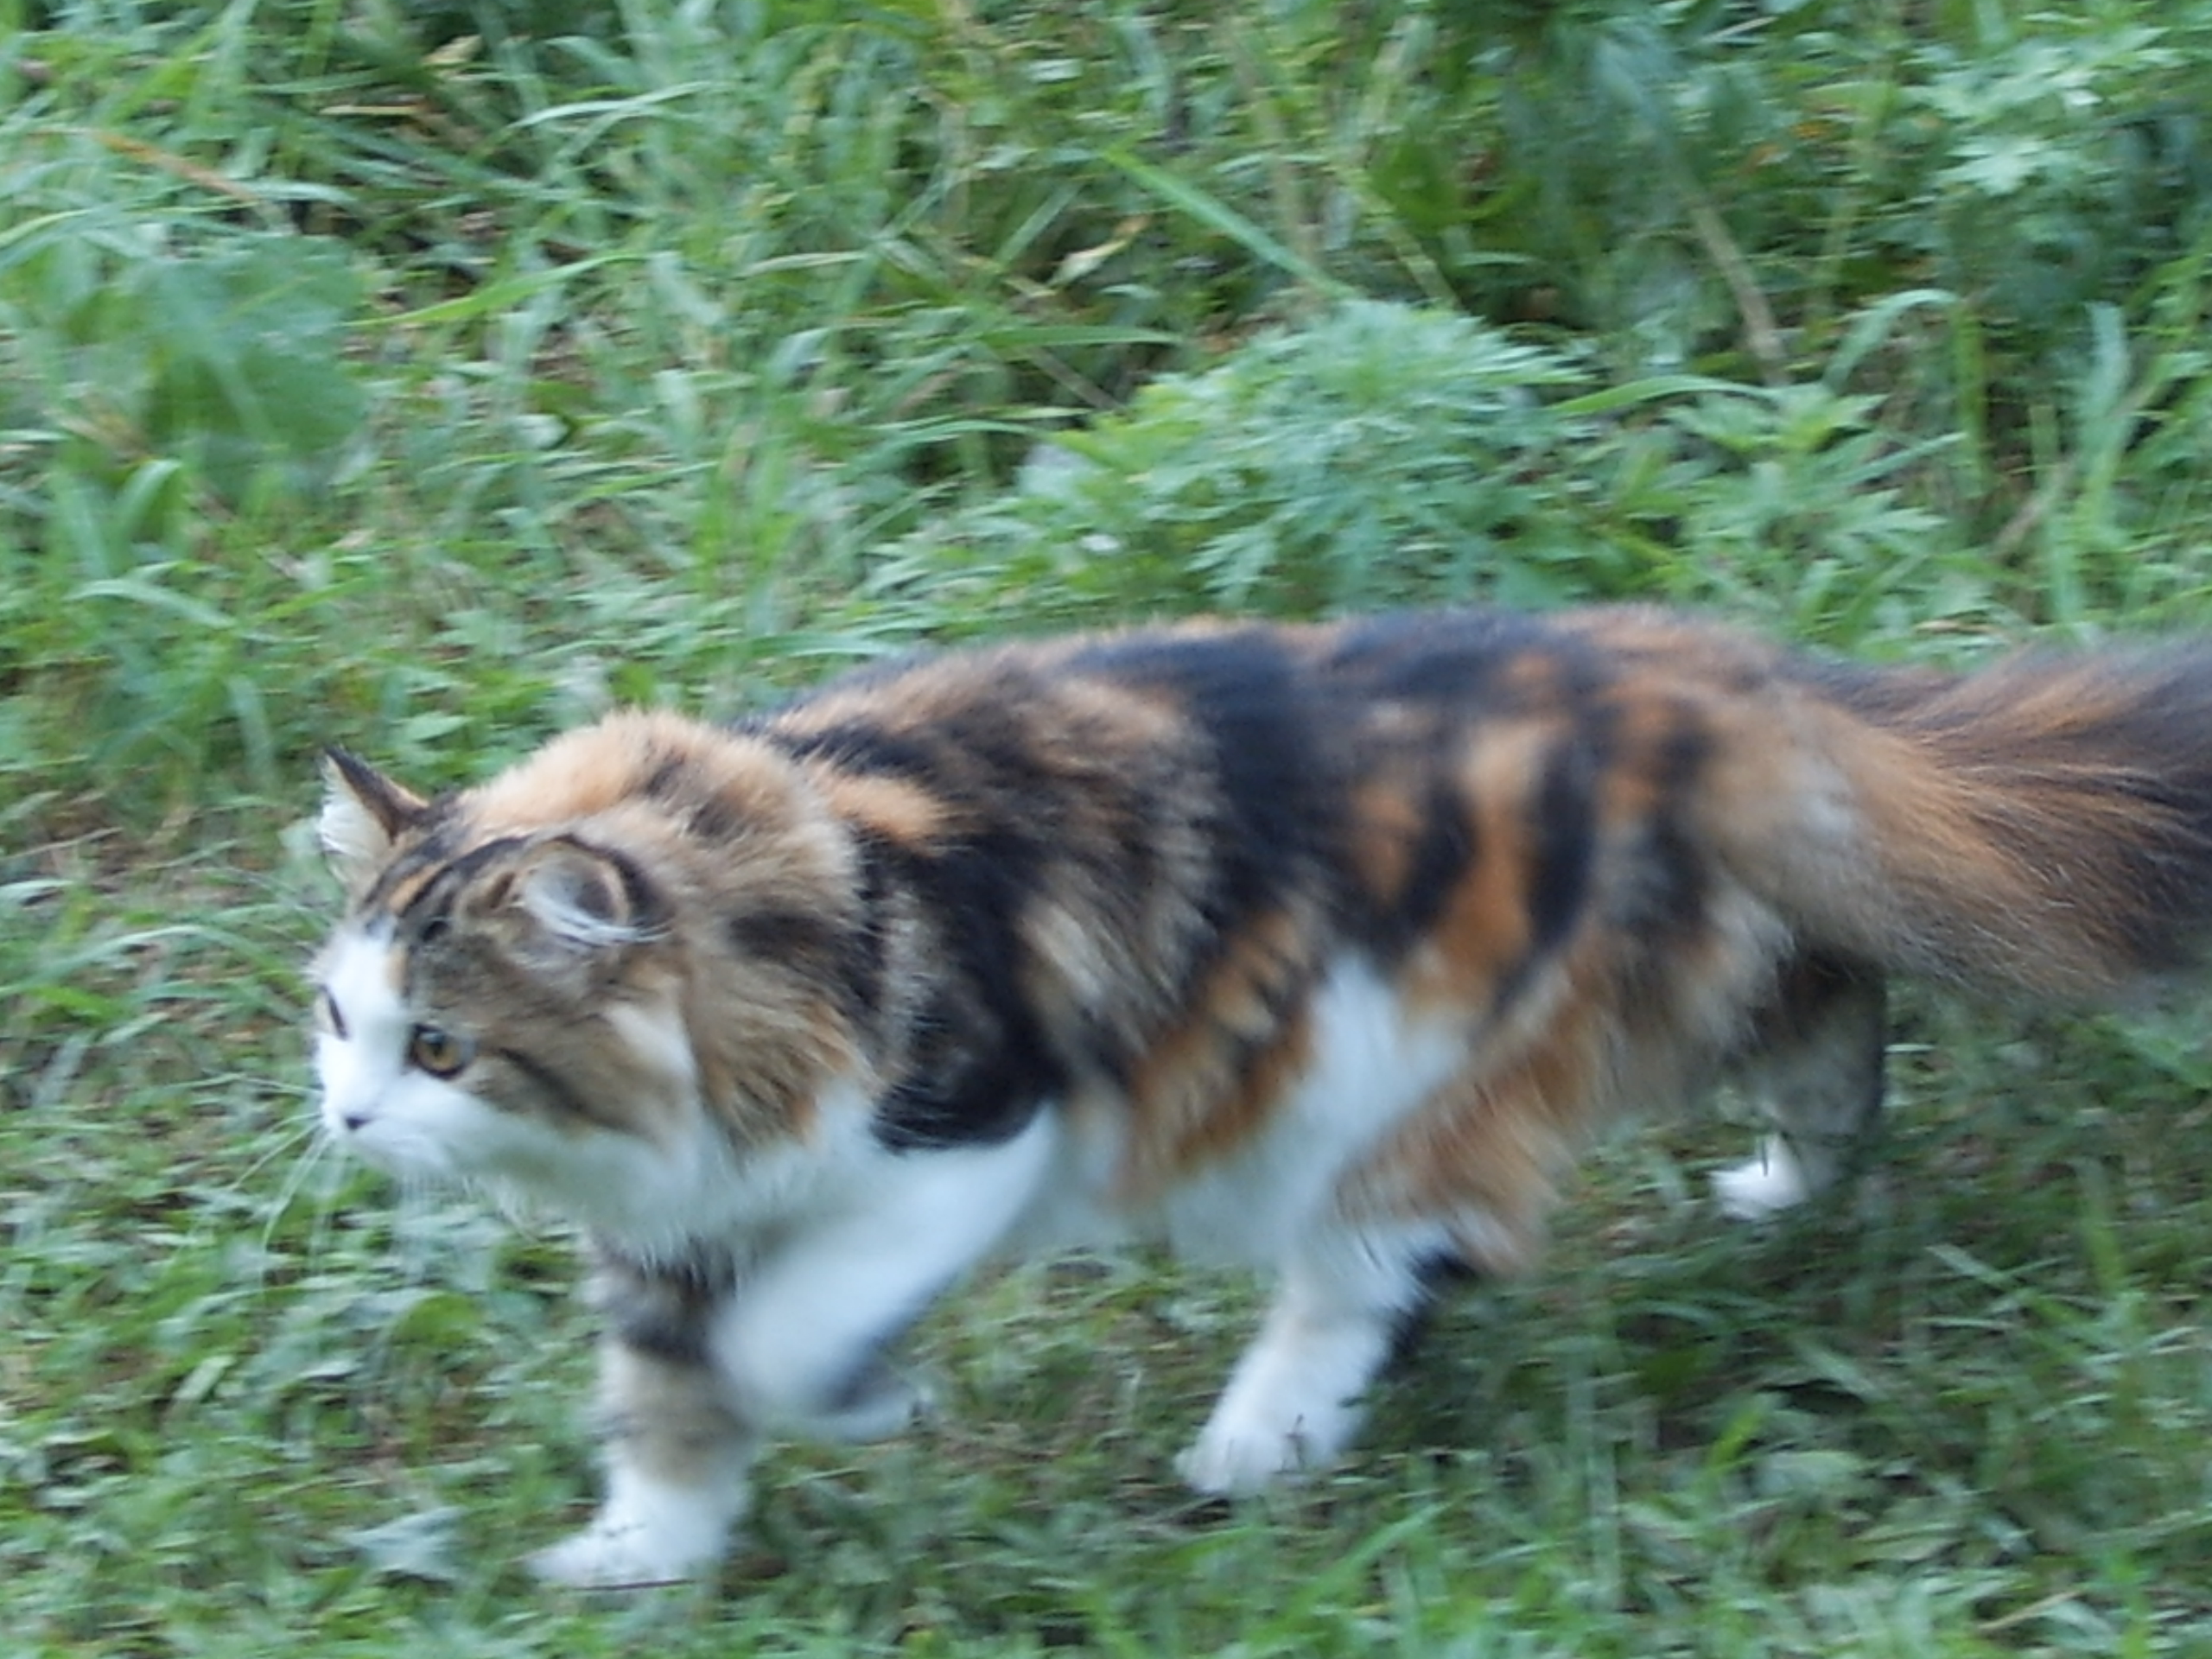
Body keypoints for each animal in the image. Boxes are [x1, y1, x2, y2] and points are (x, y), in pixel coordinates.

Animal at [311, 605, 2212, 1587]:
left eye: (441, 1050)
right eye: (337, 1020)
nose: (341, 1122)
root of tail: (1694, 678)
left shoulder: (957, 1138)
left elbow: (778, 1344)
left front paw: (868, 1405)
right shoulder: (677, 1223)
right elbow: (667, 1397)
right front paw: (643, 1555)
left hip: (1404, 1073)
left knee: (1383, 1266)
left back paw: (1258, 1440)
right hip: (1690, 981)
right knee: (1827, 1001)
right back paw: (1786, 1186)